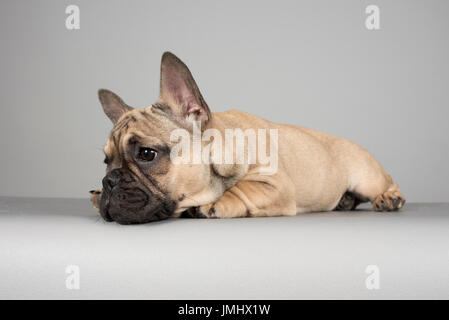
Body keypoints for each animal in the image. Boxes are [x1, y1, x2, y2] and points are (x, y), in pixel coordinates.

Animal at [89, 52, 404, 225]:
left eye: (146, 154)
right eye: (106, 161)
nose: (109, 181)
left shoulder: (275, 185)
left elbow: (243, 189)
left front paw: (212, 205)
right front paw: (96, 195)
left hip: (366, 177)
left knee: (386, 182)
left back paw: (389, 198)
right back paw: (345, 202)